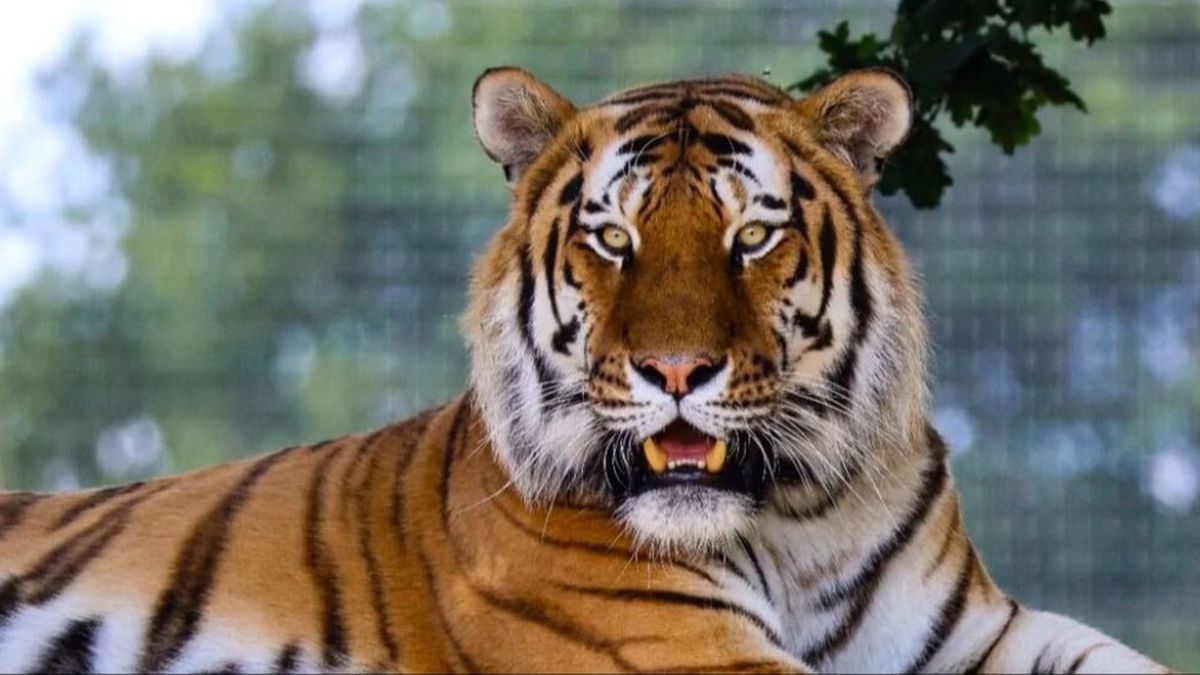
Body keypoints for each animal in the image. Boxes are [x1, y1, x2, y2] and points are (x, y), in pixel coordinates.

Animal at [0, 66, 1174, 673]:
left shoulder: (976, 636)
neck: (800, 518)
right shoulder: (682, 649)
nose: (675, 369)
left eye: (752, 237)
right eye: (613, 238)